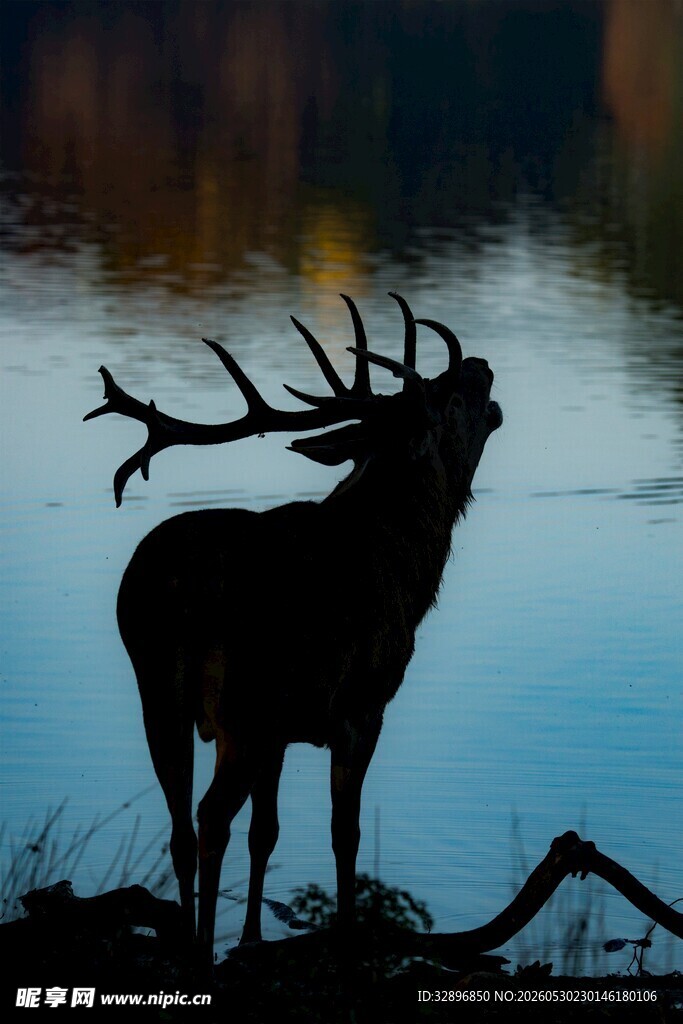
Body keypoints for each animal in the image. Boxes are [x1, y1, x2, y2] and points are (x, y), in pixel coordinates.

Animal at [85, 292, 502, 959]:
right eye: (448, 398)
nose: (482, 366)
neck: (407, 574)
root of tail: (177, 592)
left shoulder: (283, 729)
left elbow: (268, 831)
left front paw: (253, 940)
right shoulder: (361, 702)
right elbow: (343, 831)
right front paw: (347, 935)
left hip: (160, 695)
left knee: (181, 824)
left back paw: (192, 943)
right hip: (244, 701)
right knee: (210, 817)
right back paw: (201, 953)